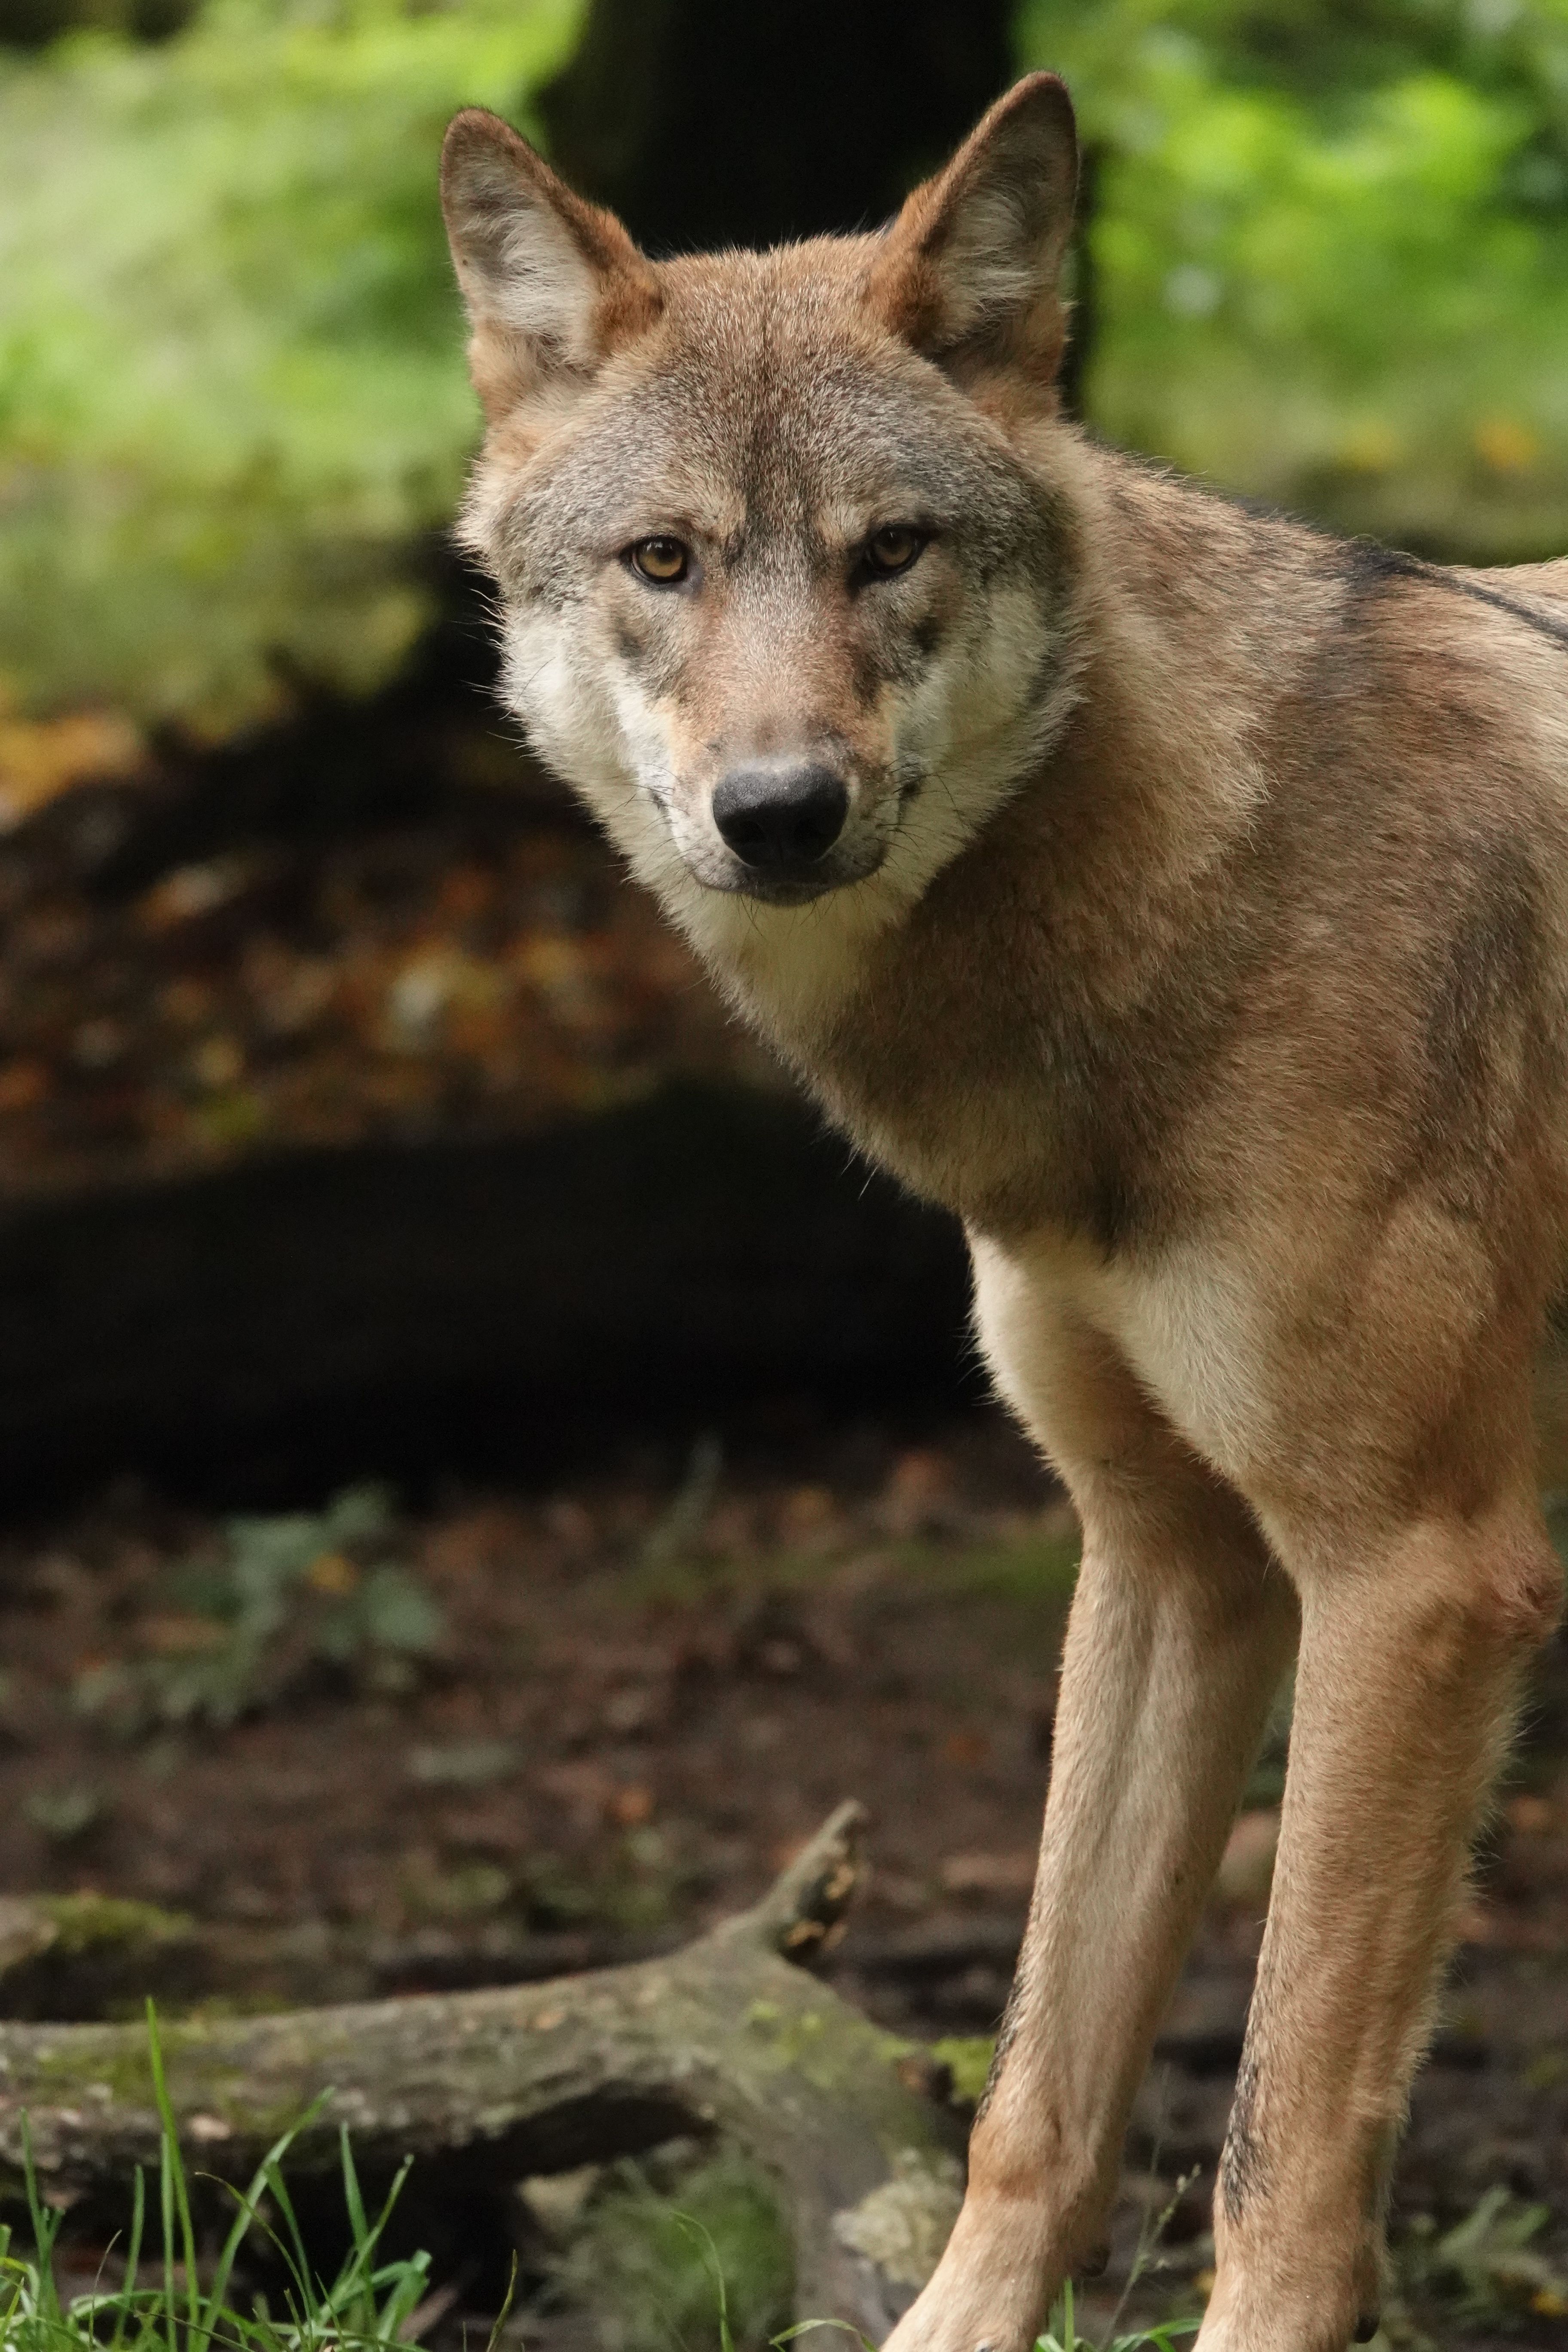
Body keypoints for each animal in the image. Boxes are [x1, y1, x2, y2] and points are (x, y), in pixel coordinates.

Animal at [440, 72, 1568, 2352]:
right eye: (666, 559)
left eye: (891, 551)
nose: (779, 810)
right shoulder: (1172, 1561)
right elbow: (1038, 2093)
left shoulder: (1415, 1578)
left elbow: (1278, 2149)